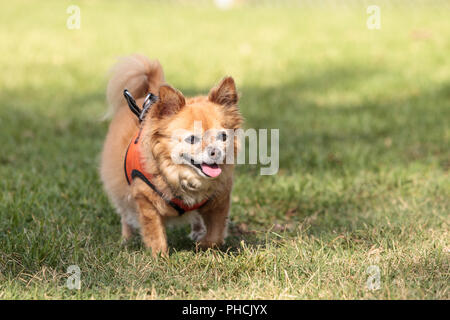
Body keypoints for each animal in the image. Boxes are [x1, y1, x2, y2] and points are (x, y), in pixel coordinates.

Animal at [100, 54, 244, 255]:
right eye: (192, 139)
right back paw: (127, 239)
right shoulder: (146, 201)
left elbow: (215, 233)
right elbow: (154, 232)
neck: (182, 176)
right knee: (126, 215)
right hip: (120, 190)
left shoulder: (220, 200)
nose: (215, 152)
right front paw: (159, 256)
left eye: (223, 136)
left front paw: (204, 245)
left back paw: (198, 231)